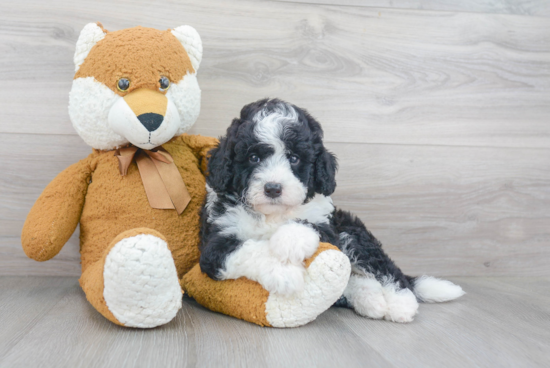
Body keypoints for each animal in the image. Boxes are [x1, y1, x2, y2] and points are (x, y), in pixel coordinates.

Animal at [199, 99, 466, 324]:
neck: (272, 214)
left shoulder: (327, 228)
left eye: (294, 159)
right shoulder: (215, 244)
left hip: (352, 233)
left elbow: (306, 224)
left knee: (387, 270)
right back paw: (371, 300)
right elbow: (247, 248)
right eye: (253, 157)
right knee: (349, 283)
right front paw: (284, 273)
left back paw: (400, 303)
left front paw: (288, 241)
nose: (273, 188)